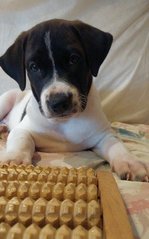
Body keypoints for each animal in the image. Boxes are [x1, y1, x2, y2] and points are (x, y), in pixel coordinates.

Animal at [0, 19, 148, 181]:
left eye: (74, 59)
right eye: (34, 67)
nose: (58, 102)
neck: (64, 122)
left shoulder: (103, 134)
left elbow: (116, 144)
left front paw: (129, 162)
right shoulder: (23, 129)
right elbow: (21, 140)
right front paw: (15, 159)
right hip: (5, 100)